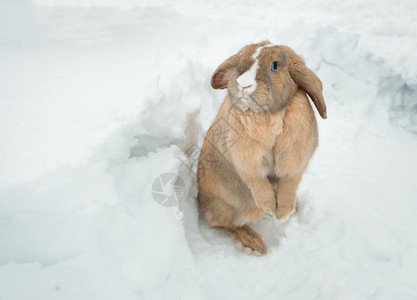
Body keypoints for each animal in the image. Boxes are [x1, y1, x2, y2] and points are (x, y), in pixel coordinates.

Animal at [197, 40, 326, 255]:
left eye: (274, 66)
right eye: (240, 63)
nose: (243, 84)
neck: (267, 115)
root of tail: (200, 200)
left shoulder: (295, 163)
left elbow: (288, 184)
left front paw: (283, 212)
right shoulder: (248, 165)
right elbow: (260, 185)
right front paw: (271, 208)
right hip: (229, 207)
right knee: (227, 225)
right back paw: (253, 243)